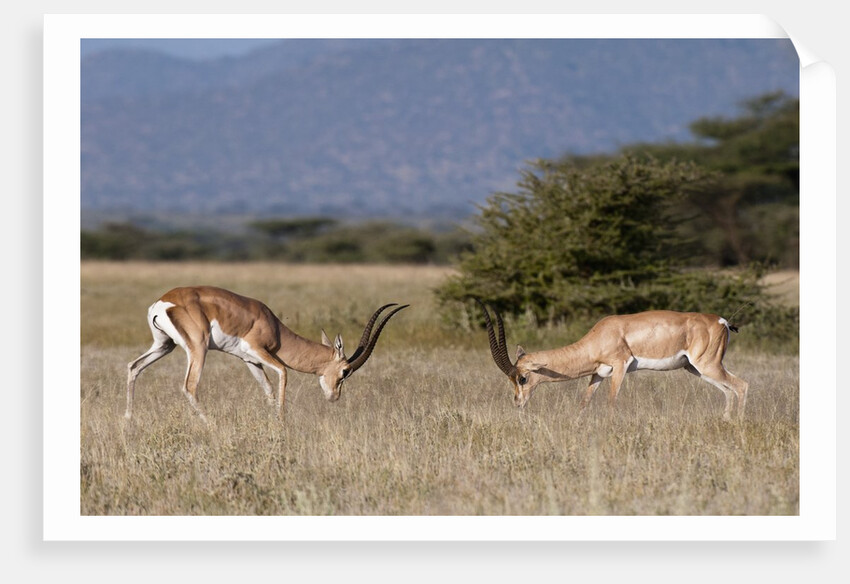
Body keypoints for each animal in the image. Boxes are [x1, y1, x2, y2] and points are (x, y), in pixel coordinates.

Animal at [126, 286, 408, 422]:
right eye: (345, 371)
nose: (334, 397)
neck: (274, 327)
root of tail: (163, 302)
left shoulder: (250, 360)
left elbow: (268, 390)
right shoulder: (257, 350)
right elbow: (283, 373)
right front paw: (282, 424)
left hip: (164, 345)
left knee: (133, 367)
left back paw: (128, 422)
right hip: (198, 348)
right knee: (190, 386)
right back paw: (212, 425)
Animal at [475, 299, 748, 421]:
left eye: (522, 378)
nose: (517, 403)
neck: (599, 336)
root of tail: (722, 321)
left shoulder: (620, 366)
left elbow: (611, 402)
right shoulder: (598, 373)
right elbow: (584, 402)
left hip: (707, 365)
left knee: (741, 385)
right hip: (695, 369)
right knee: (728, 390)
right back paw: (726, 420)